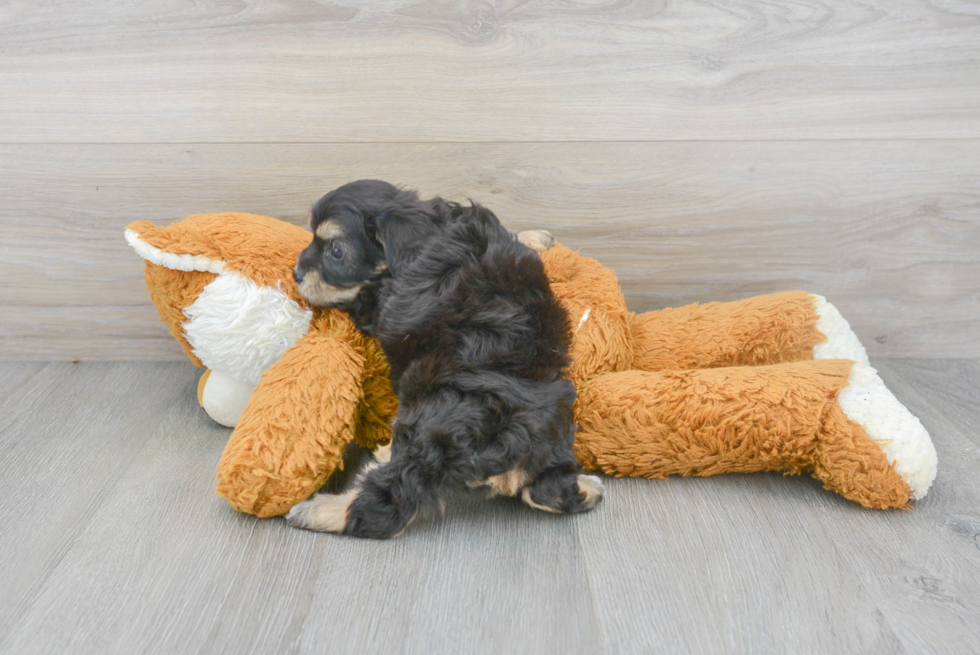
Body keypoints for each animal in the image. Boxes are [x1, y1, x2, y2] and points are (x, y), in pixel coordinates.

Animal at [286, 179, 604, 540]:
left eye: (335, 251)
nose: (296, 273)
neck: (428, 232)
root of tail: (508, 442)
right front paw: (537, 237)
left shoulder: (372, 303)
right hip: (556, 420)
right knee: (548, 490)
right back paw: (588, 488)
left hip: (426, 431)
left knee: (386, 502)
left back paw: (318, 509)